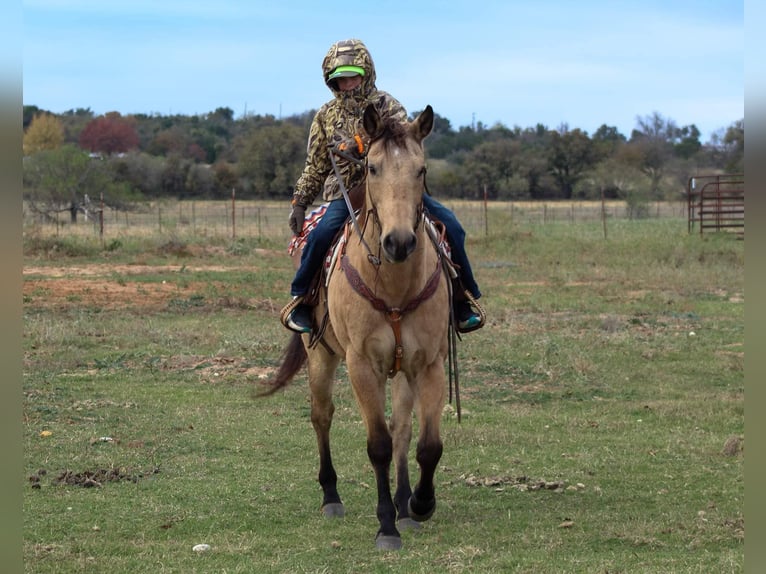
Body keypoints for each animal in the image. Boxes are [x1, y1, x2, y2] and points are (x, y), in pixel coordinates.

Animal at [260, 104, 452, 552]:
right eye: (373, 167)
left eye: (421, 169)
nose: (399, 242)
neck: (396, 286)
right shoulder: (362, 364)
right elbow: (378, 445)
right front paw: (386, 527)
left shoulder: (428, 363)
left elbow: (426, 444)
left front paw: (418, 505)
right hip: (320, 356)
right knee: (322, 415)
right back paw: (331, 496)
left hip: (401, 370)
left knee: (402, 429)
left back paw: (404, 504)